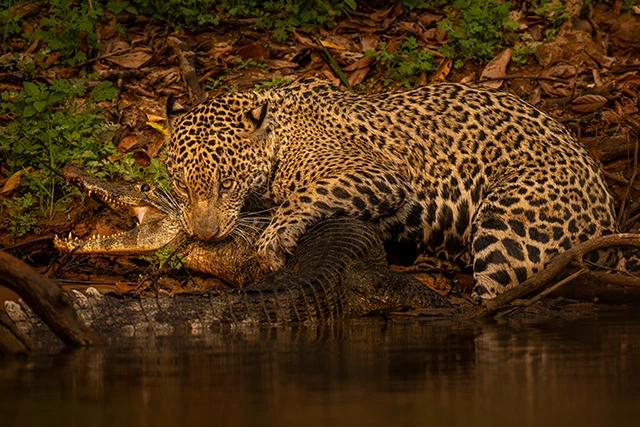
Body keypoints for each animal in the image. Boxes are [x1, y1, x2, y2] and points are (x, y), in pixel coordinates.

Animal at [164, 77, 618, 299]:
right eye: (182, 185)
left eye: (226, 183)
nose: (205, 235)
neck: (279, 134)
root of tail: (609, 220)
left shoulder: (375, 175)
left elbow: (302, 197)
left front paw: (273, 239)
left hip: (507, 221)